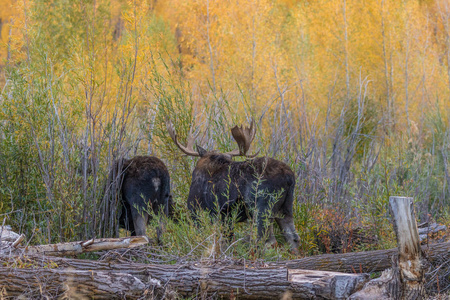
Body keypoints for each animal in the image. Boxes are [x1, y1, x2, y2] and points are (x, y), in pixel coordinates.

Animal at [165, 118, 298, 252]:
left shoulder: (198, 211)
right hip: (285, 208)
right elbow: (227, 239)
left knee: (268, 241)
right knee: (293, 238)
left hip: (262, 209)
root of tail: (289, 177)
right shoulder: (226, 217)